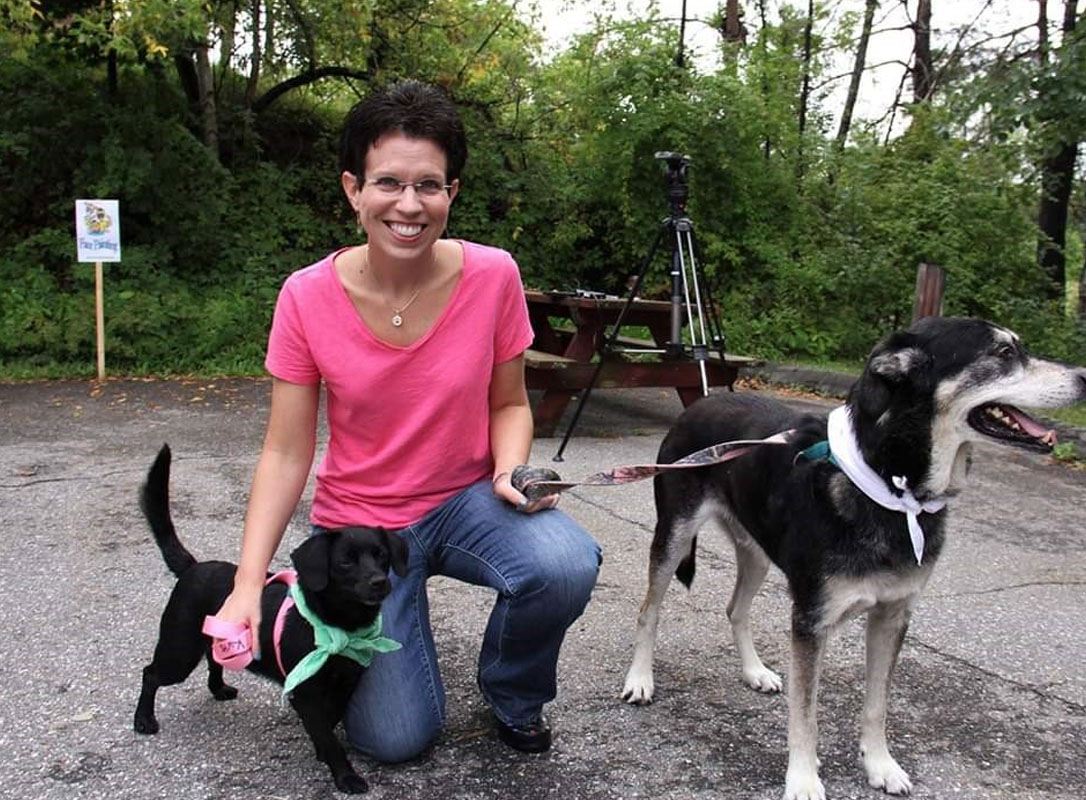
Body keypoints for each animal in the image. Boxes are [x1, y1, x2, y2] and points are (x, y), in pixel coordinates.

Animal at [134, 442, 408, 794]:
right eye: (346, 562)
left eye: (382, 556)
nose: (379, 582)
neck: (336, 625)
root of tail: (192, 567)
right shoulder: (306, 692)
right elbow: (328, 734)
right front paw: (345, 775)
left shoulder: (346, 684)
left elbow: (329, 723)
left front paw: (321, 752)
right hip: (178, 652)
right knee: (151, 674)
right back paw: (143, 719)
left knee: (213, 658)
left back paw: (218, 689)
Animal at [621, 319, 1086, 798]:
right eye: (1003, 353)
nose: (1084, 378)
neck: (892, 486)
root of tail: (701, 402)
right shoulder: (811, 622)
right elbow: (805, 715)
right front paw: (803, 780)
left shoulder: (892, 616)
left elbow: (877, 704)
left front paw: (880, 765)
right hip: (674, 536)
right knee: (648, 610)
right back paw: (640, 679)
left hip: (756, 552)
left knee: (735, 608)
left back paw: (754, 671)